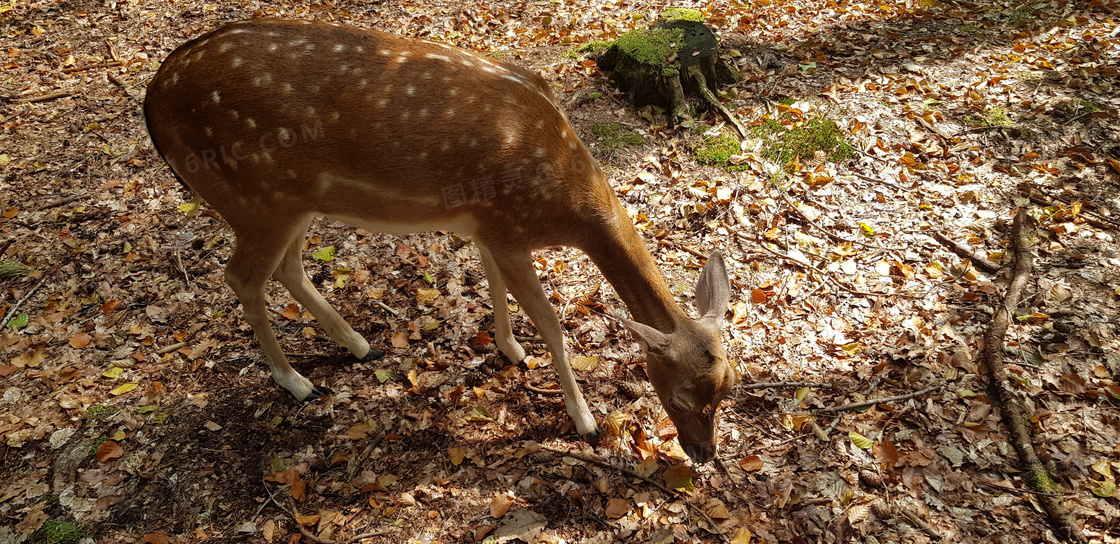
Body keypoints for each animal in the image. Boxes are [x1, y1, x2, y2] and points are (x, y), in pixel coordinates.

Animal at [144, 18, 739, 463]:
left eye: (729, 387)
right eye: (679, 396)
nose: (704, 453)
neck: (564, 205)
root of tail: (153, 97)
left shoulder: (485, 226)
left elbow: (494, 285)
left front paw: (509, 349)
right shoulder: (508, 228)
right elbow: (551, 322)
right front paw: (584, 420)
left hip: (291, 204)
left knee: (286, 268)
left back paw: (358, 344)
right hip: (254, 199)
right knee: (241, 276)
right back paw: (296, 382)